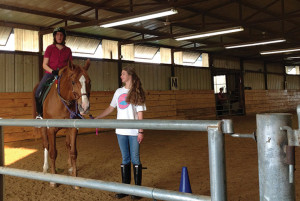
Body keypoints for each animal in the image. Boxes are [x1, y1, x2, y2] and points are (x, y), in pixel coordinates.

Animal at [33, 59, 91, 188]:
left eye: (89, 82)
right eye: (73, 82)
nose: (84, 107)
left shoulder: (73, 128)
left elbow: (73, 152)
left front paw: (75, 179)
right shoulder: (51, 129)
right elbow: (53, 153)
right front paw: (53, 180)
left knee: (68, 145)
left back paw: (69, 167)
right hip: (43, 127)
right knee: (45, 145)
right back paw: (45, 168)